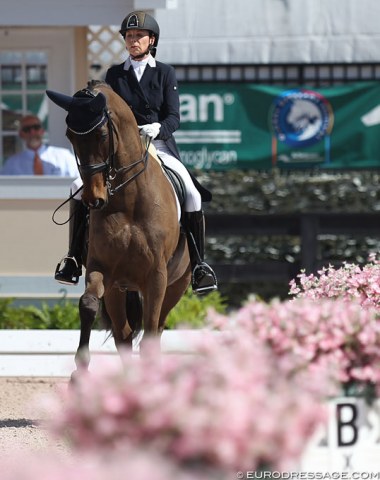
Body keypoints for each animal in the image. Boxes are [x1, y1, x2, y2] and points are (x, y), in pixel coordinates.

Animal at [46, 81, 191, 376]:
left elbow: (150, 332)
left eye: (102, 134)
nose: (93, 199)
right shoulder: (101, 268)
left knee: (155, 329)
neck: (129, 200)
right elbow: (88, 305)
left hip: (177, 285)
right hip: (118, 289)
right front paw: (79, 372)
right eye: (70, 135)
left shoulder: (157, 277)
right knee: (124, 333)